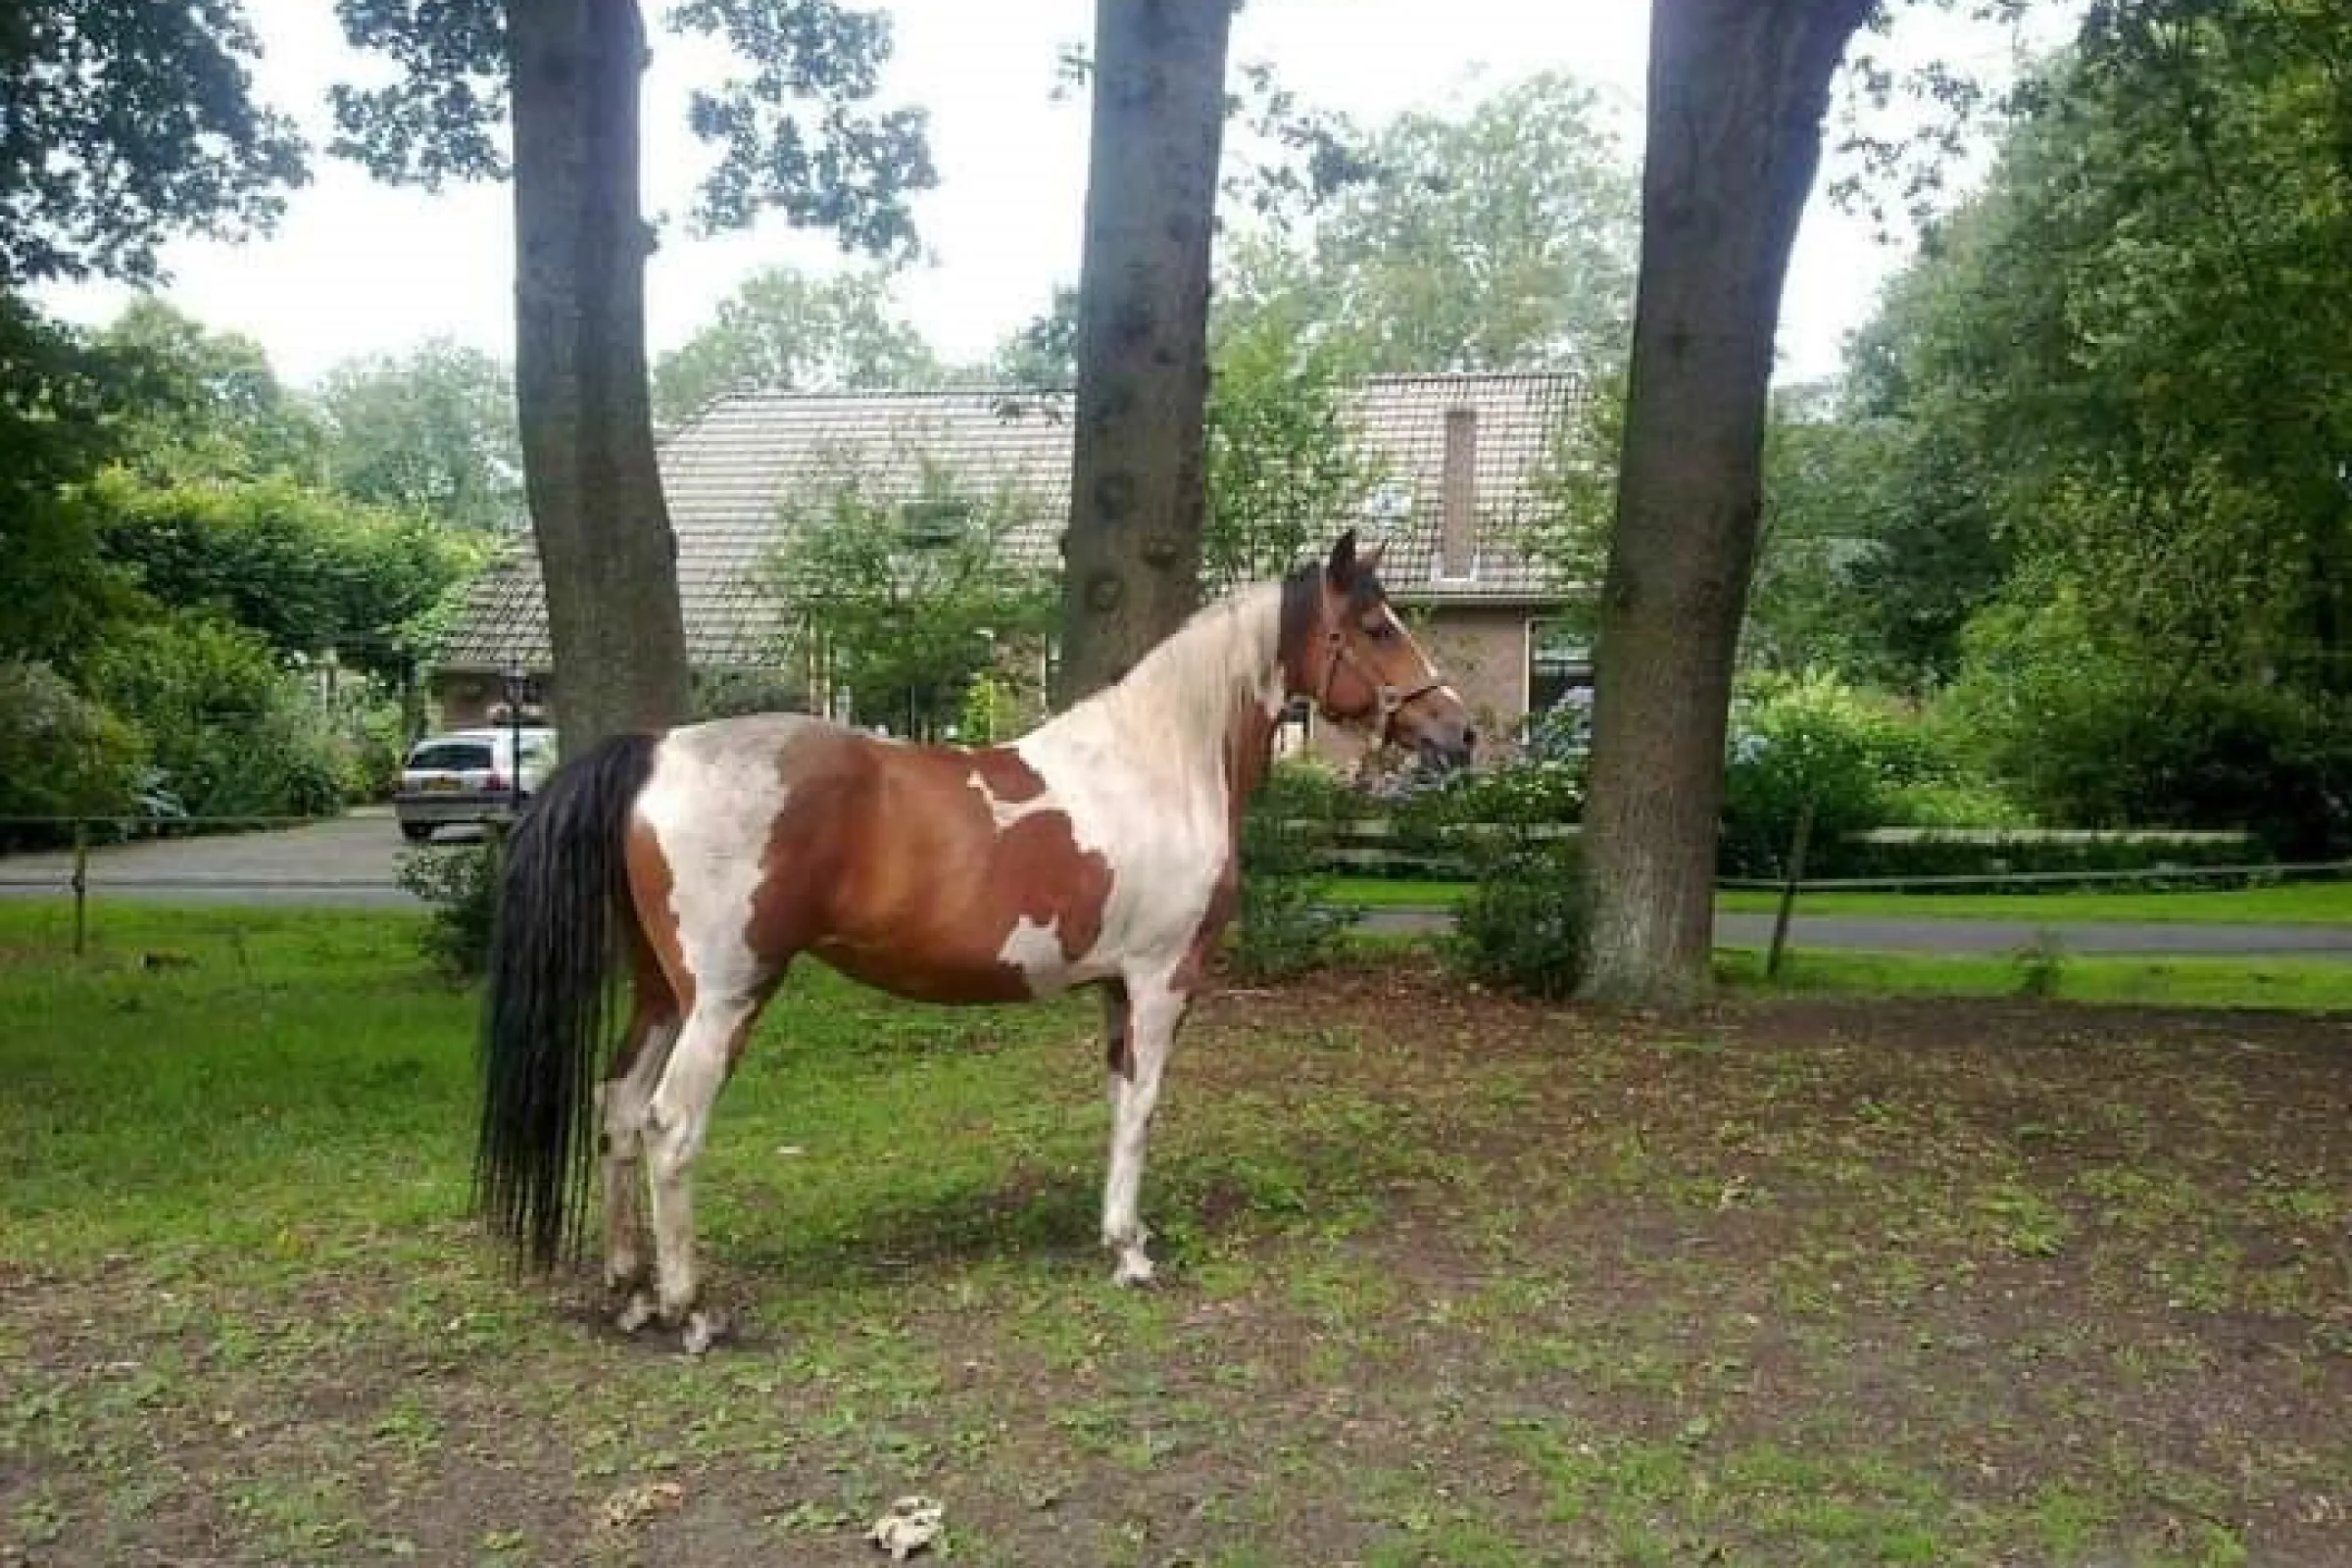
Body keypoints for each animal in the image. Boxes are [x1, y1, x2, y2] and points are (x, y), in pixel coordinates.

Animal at [473, 529, 1476, 1352]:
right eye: (1378, 625)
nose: (1460, 730)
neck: (1160, 763)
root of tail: (658, 752)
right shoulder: (1161, 981)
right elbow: (1145, 1108)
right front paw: (1131, 1254)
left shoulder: (1117, 989)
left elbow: (1117, 1102)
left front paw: (1119, 1233)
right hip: (724, 1001)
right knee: (671, 1126)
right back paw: (691, 1310)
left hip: (657, 992)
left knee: (617, 1109)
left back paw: (630, 1290)